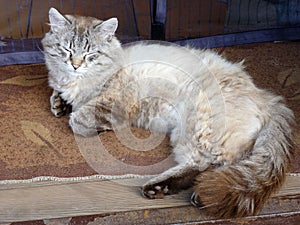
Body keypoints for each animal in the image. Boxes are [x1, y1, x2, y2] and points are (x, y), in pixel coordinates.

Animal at [41, 7, 294, 219]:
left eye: (90, 54)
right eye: (67, 50)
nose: (75, 65)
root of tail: (268, 99)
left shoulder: (114, 102)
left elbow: (80, 119)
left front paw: (82, 119)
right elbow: (58, 93)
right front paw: (60, 103)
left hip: (200, 128)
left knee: (211, 163)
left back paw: (170, 190)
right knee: (209, 165)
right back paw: (170, 191)